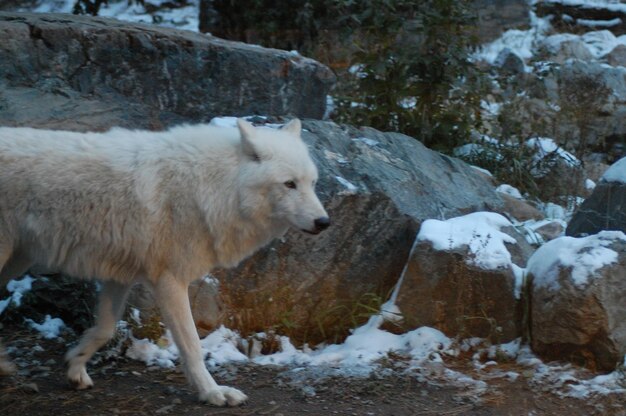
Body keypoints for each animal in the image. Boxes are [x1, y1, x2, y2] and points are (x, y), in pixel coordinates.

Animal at [0, 119, 332, 406]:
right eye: (289, 184)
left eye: (312, 183)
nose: (324, 222)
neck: (216, 185)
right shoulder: (170, 281)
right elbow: (192, 346)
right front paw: (212, 392)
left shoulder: (120, 275)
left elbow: (104, 329)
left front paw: (75, 367)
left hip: (17, 260)